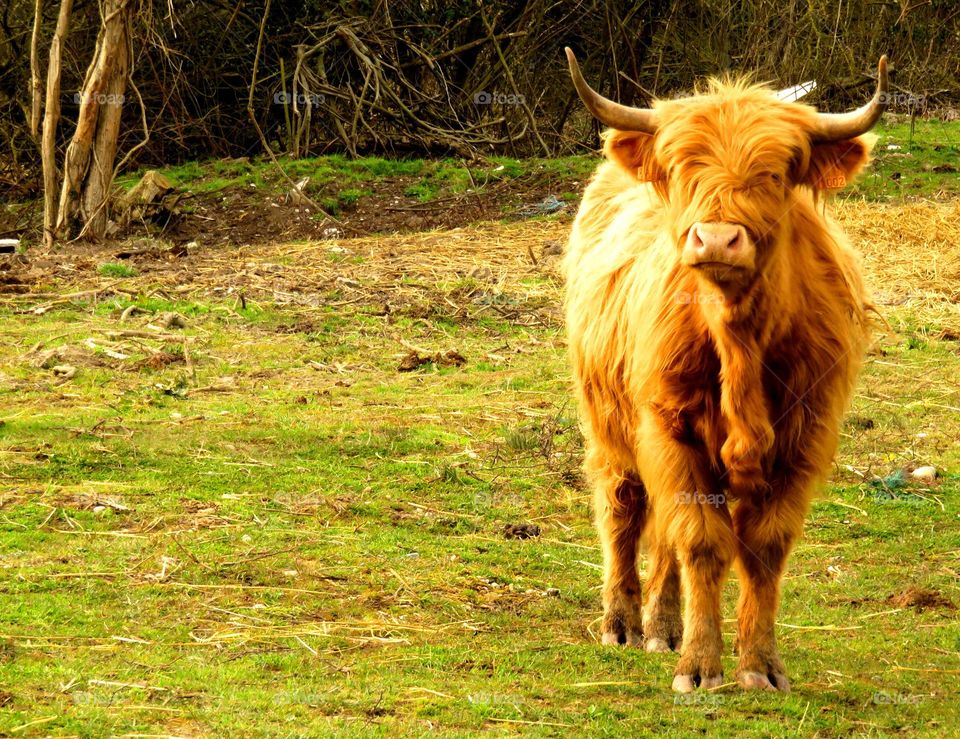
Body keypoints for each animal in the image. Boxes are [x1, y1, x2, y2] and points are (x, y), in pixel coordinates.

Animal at [564, 47, 884, 692]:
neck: (739, 341)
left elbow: (763, 546)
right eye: (679, 166)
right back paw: (622, 622)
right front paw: (699, 666)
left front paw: (759, 665)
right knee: (622, 506)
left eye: (779, 170)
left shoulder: (805, 438)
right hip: (609, 421)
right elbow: (702, 541)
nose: (715, 239)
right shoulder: (669, 426)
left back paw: (662, 626)